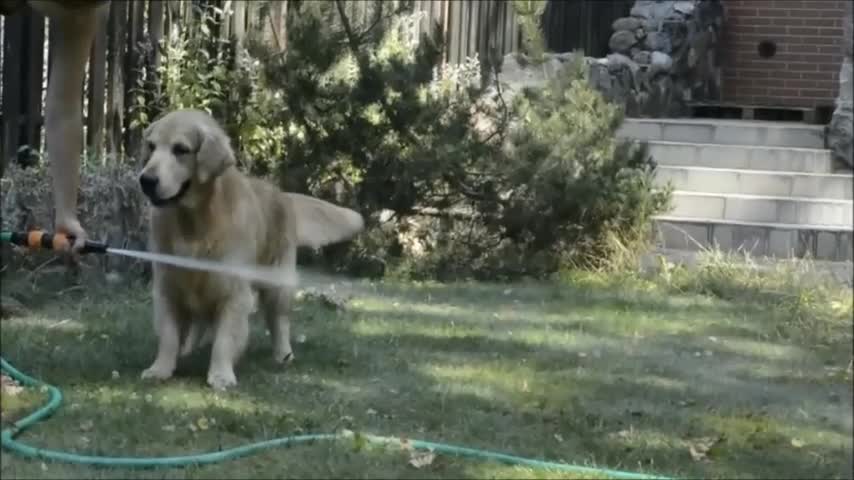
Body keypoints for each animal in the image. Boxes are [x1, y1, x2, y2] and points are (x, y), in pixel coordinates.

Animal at [137, 109, 364, 390]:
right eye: (151, 146)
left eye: (181, 149)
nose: (146, 180)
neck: (195, 223)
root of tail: (283, 195)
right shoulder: (168, 286)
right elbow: (168, 335)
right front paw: (160, 369)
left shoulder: (234, 290)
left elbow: (224, 339)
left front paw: (221, 375)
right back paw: (189, 349)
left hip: (278, 283)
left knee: (279, 322)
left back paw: (283, 355)